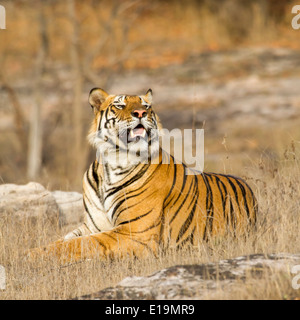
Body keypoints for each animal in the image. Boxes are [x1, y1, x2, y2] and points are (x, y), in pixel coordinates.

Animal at [29, 86, 258, 264]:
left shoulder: (135, 232)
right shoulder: (92, 225)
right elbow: (63, 240)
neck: (112, 163)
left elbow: (80, 244)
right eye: (120, 105)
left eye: (146, 106)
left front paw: (31, 256)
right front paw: (32, 251)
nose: (140, 113)